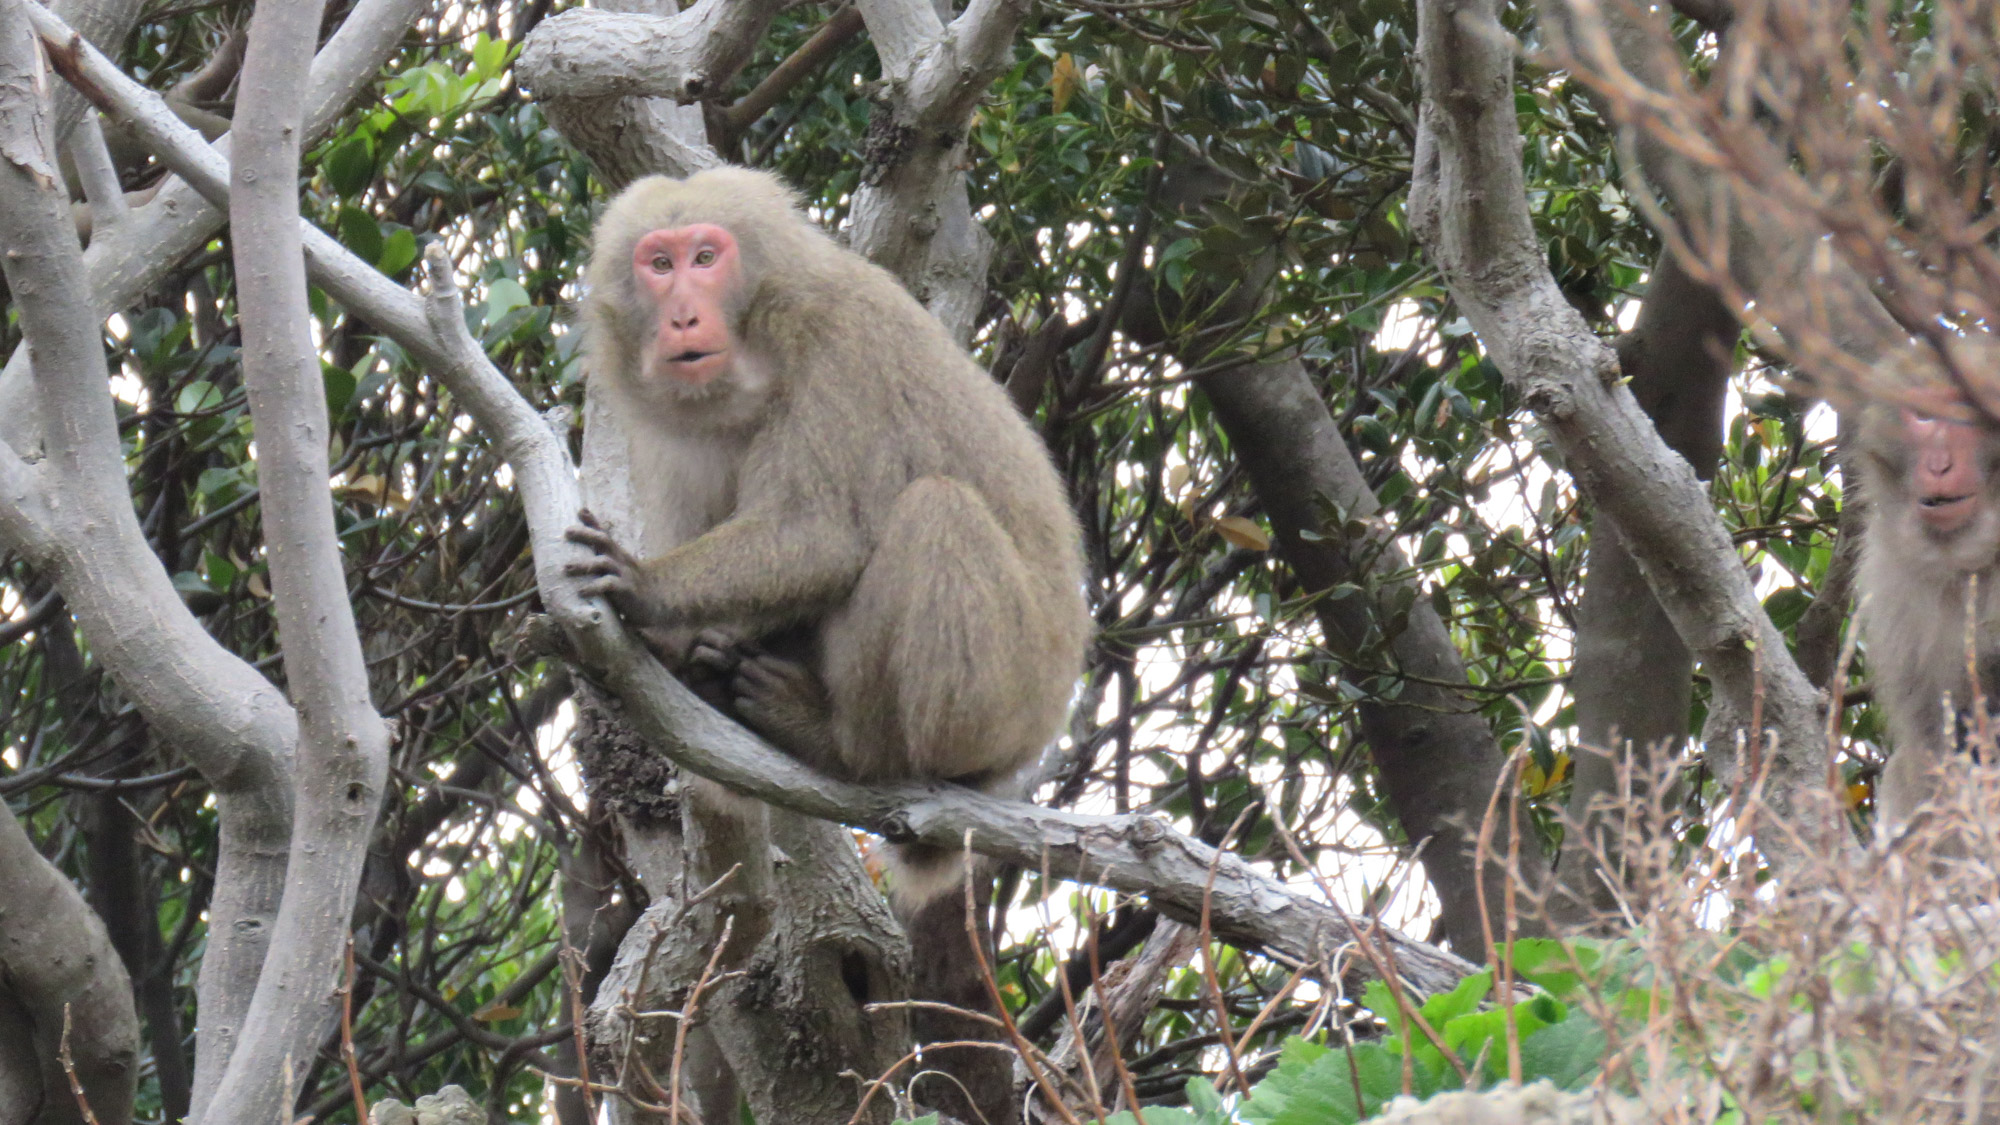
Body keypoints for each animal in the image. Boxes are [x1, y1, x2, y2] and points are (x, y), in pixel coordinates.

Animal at [564, 166, 1096, 900]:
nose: (682, 316)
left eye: (706, 257)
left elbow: (824, 536)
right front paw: (672, 648)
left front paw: (646, 587)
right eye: (660, 264)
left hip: (1010, 697)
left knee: (936, 511)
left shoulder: (841, 341)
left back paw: (846, 750)